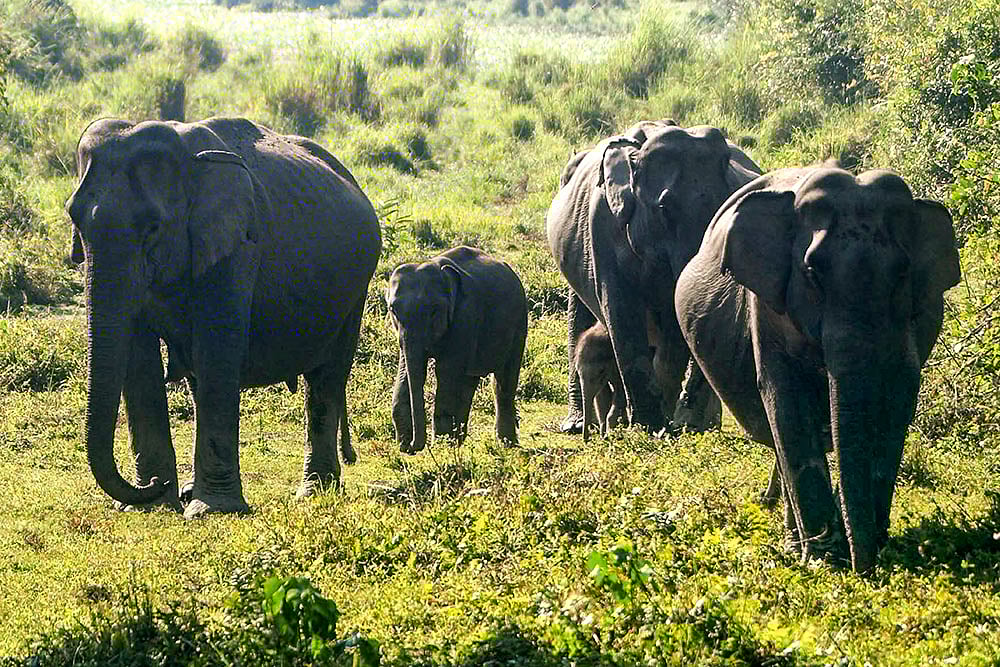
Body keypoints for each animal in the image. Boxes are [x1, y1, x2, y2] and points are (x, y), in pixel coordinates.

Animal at [65, 116, 381, 518]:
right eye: (74, 219)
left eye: (153, 227)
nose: (153, 485)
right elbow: (138, 359)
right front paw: (154, 505)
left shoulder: (237, 243)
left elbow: (216, 349)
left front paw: (209, 510)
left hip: (356, 289)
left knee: (327, 377)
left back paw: (314, 491)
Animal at [386, 246, 528, 453]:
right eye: (393, 310)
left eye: (434, 310)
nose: (410, 446)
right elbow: (409, 369)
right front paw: (406, 443)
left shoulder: (465, 315)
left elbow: (446, 371)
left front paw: (442, 447)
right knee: (469, 381)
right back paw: (460, 441)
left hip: (519, 324)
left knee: (503, 381)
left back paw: (506, 444)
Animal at [546, 119, 760, 434]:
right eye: (664, 208)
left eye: (724, 206)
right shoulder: (602, 228)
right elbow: (621, 310)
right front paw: (646, 426)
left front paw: (663, 424)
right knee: (579, 312)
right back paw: (581, 424)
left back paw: (693, 423)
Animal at [674, 166, 960, 572]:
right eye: (812, 271)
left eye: (902, 272)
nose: (864, 567)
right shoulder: (767, 309)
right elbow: (787, 404)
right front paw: (824, 561)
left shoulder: (915, 322)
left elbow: (897, 401)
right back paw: (797, 543)